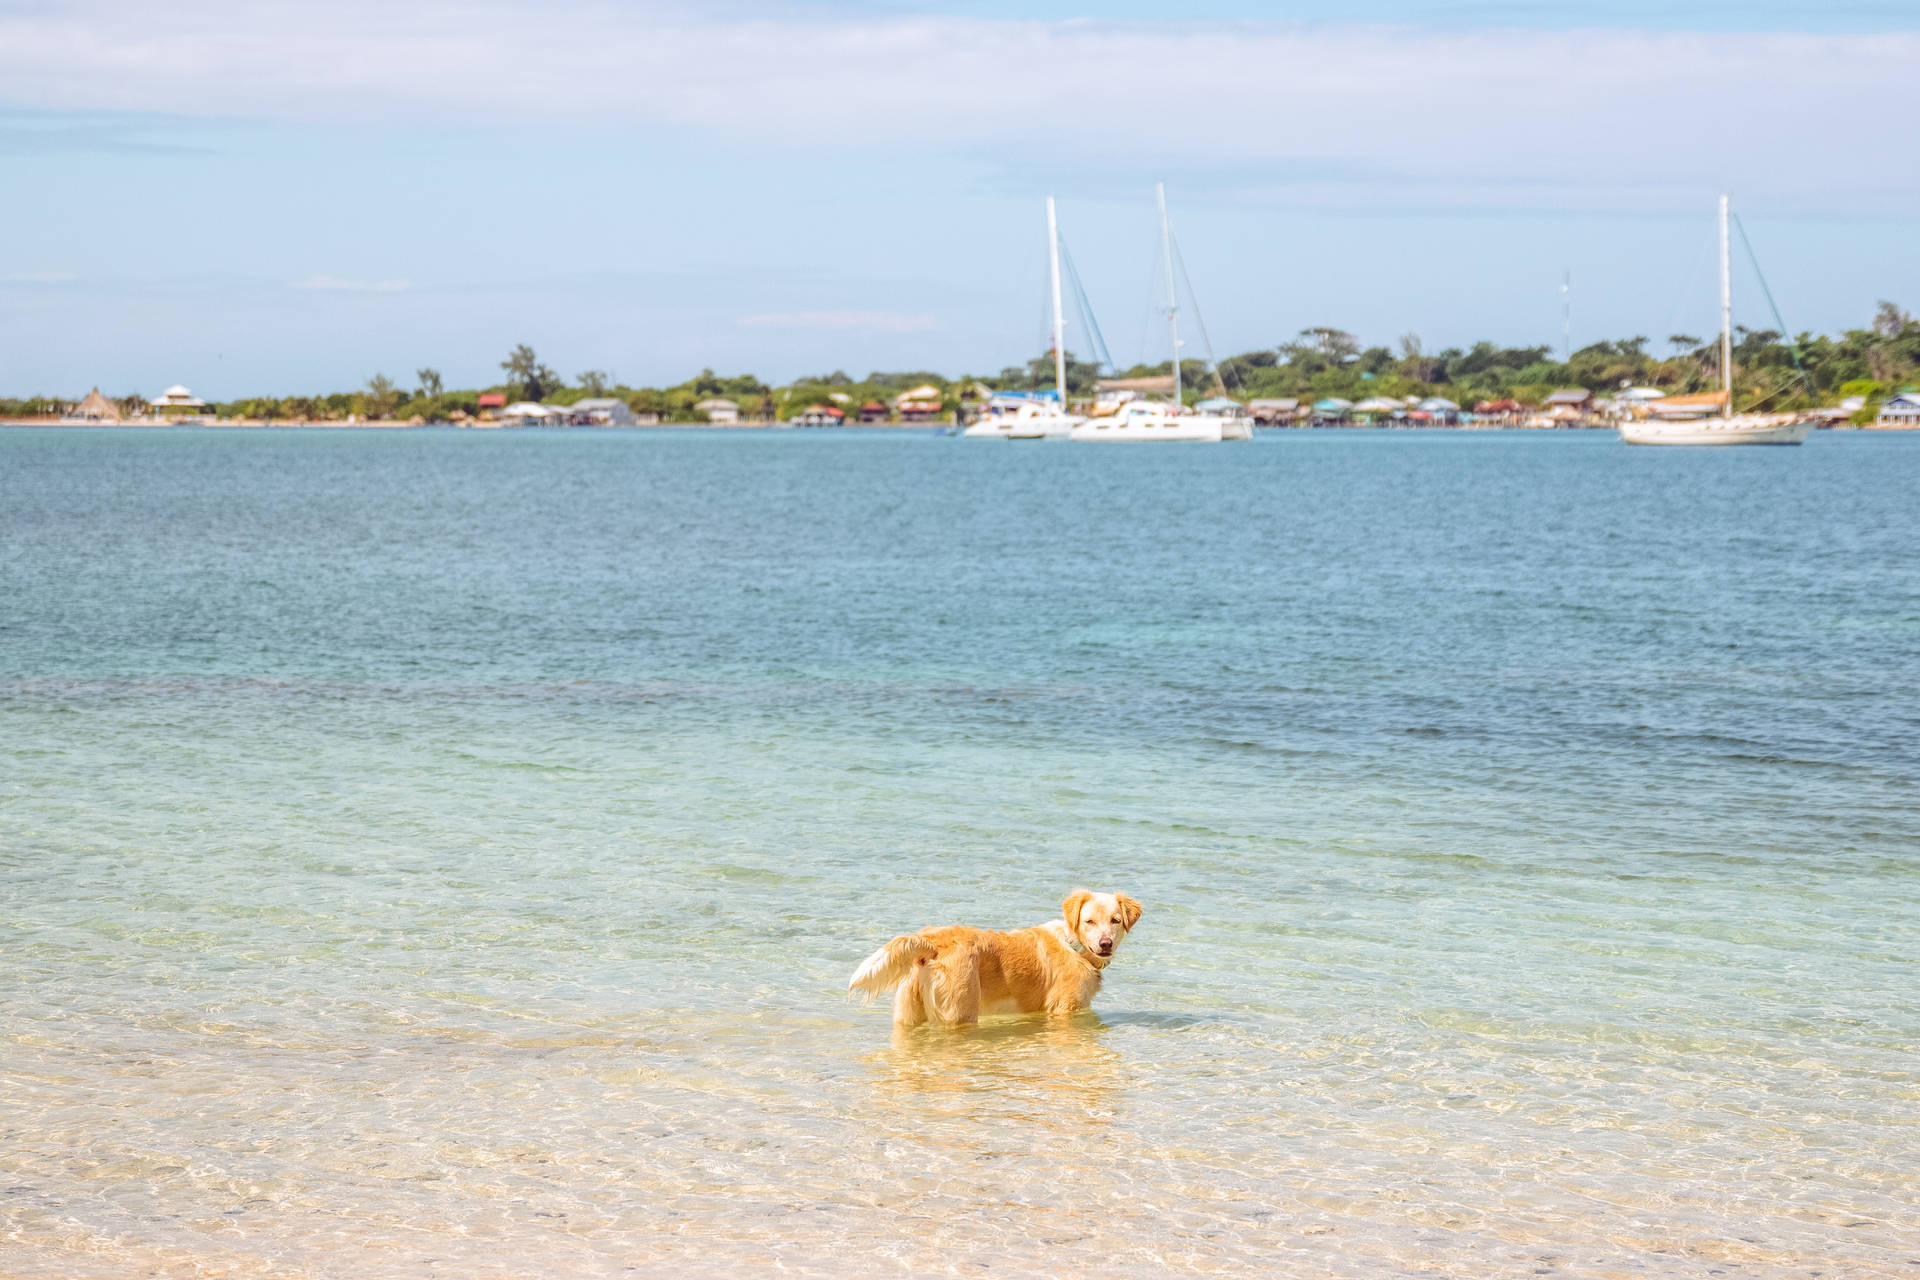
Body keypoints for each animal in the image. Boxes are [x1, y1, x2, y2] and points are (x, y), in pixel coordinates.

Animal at [852, 890, 1136, 1028]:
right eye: (1089, 921)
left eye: (1115, 920)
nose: (1105, 944)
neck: (1074, 945)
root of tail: (931, 940)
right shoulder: (1065, 1010)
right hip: (959, 1012)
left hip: (908, 1014)